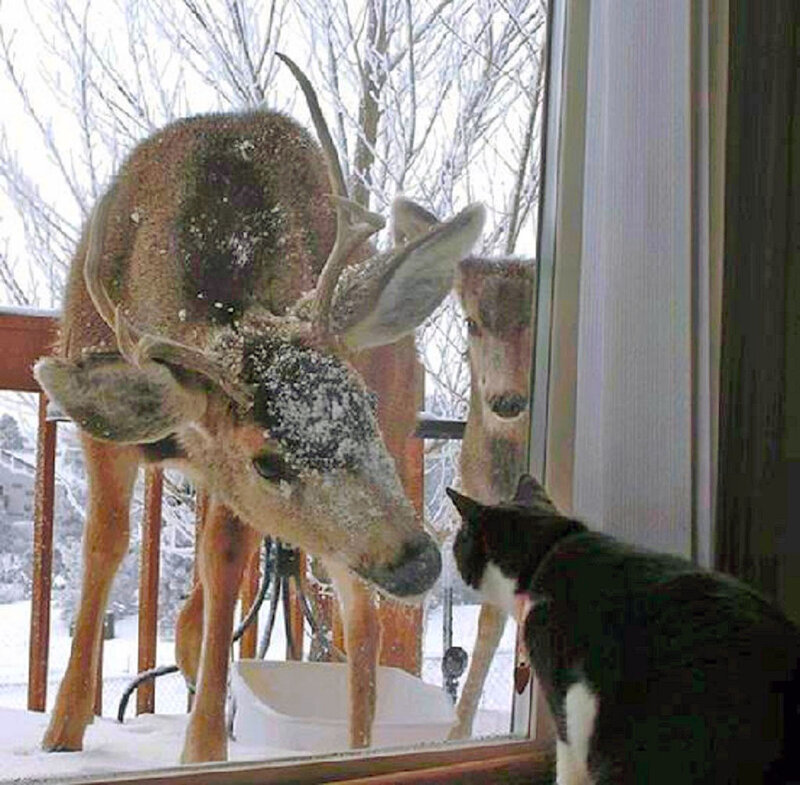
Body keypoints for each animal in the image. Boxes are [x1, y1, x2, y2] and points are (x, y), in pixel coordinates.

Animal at [33, 55, 485, 764]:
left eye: (362, 404)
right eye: (267, 462)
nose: (417, 560)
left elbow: (223, 560)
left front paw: (202, 748)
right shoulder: (107, 433)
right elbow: (106, 543)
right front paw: (62, 729)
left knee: (359, 617)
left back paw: (357, 748)